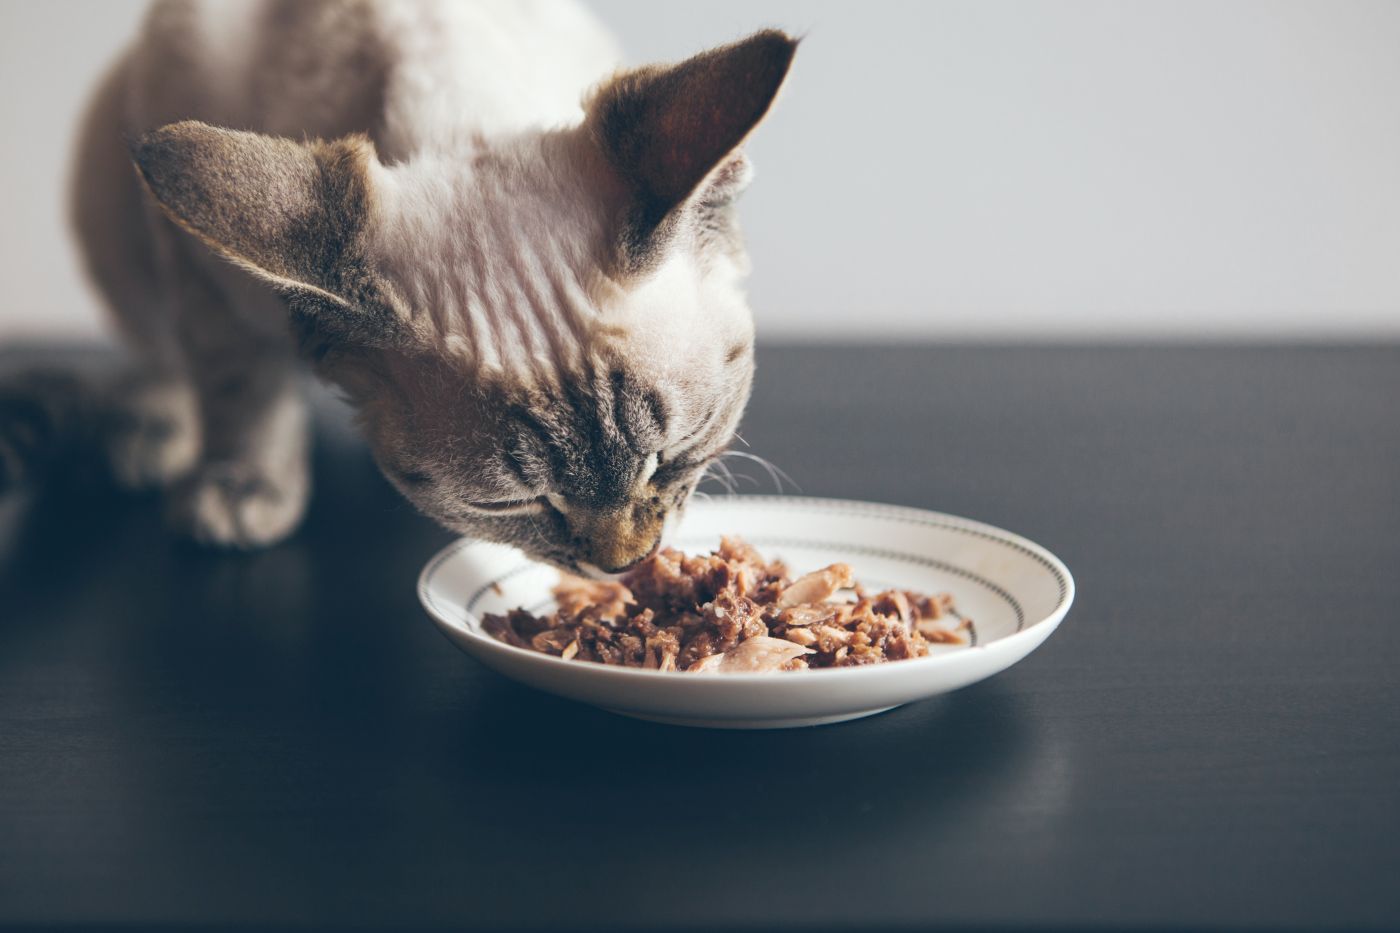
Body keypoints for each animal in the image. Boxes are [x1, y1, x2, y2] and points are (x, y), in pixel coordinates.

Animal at [19, 0, 800, 571]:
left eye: (675, 453)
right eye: (513, 504)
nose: (623, 566)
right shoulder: (198, 266)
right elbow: (239, 388)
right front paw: (244, 491)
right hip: (108, 193)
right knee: (159, 352)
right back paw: (150, 435)